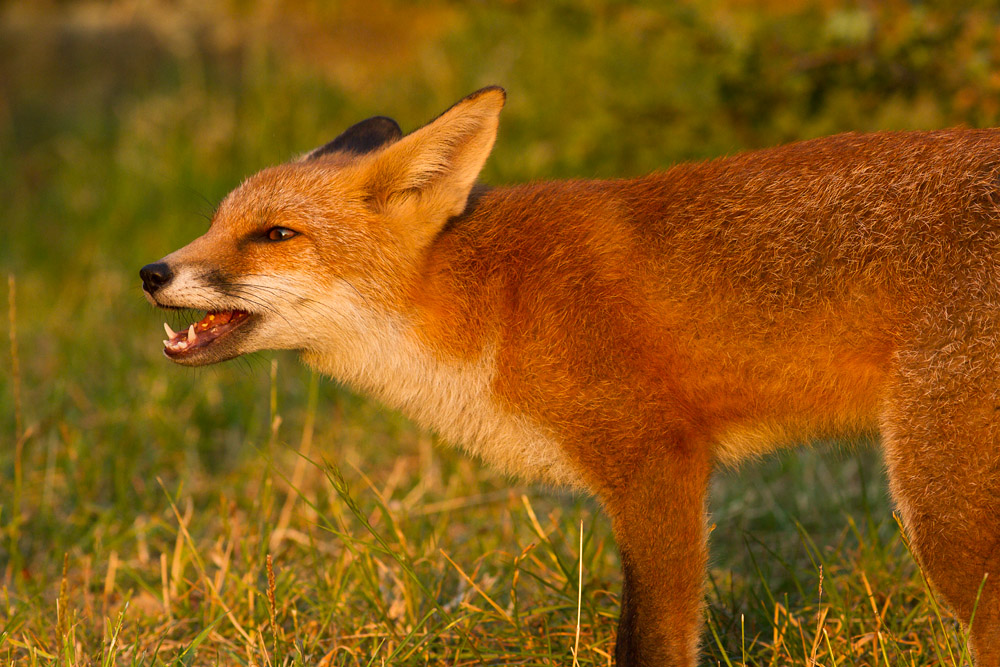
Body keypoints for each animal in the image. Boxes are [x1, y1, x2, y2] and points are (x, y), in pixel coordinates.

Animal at [140, 86, 1000, 666]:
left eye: (275, 235)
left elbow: (649, 642)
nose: (152, 272)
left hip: (942, 515)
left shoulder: (656, 462)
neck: (496, 304)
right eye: (217, 224)